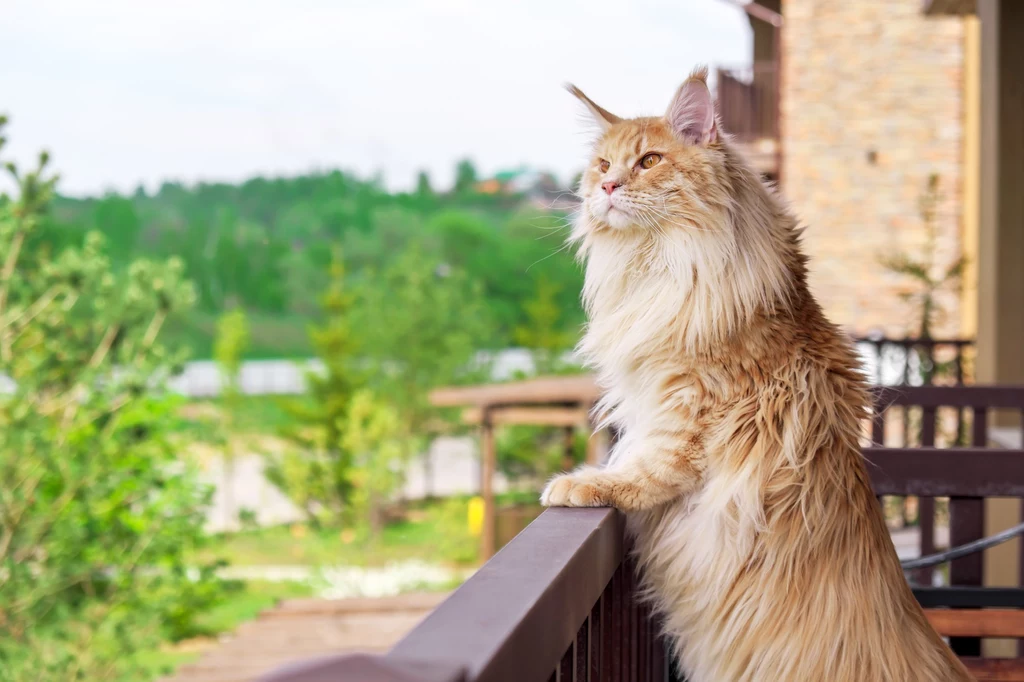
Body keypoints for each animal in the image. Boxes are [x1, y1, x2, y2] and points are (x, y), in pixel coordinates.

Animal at [540, 65, 970, 679]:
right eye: (602, 165)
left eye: (648, 161)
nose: (608, 188)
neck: (659, 265)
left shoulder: (688, 404)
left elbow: (643, 470)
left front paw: (581, 482)